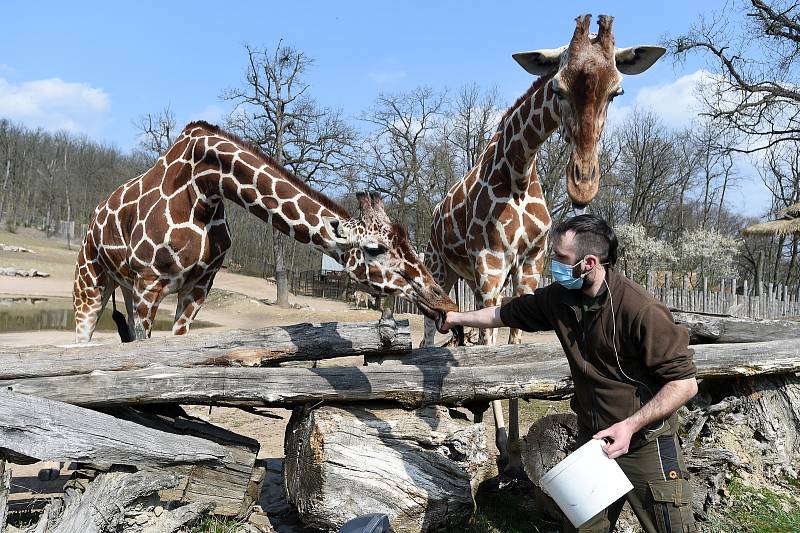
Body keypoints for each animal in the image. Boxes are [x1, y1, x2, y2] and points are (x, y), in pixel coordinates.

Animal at [76, 119, 460, 340]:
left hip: (124, 287)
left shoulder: (198, 288)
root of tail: (93, 221)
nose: (443, 301)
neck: (204, 188)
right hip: (91, 283)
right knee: (84, 336)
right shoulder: (148, 285)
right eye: (375, 249)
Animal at [422, 12, 664, 472]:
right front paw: (501, 445)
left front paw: (515, 450)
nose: (583, 183)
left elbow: (513, 342)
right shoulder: (491, 264)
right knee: (428, 331)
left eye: (617, 91)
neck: (517, 173)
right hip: (440, 266)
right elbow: (490, 346)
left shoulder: (529, 266)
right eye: (558, 87)